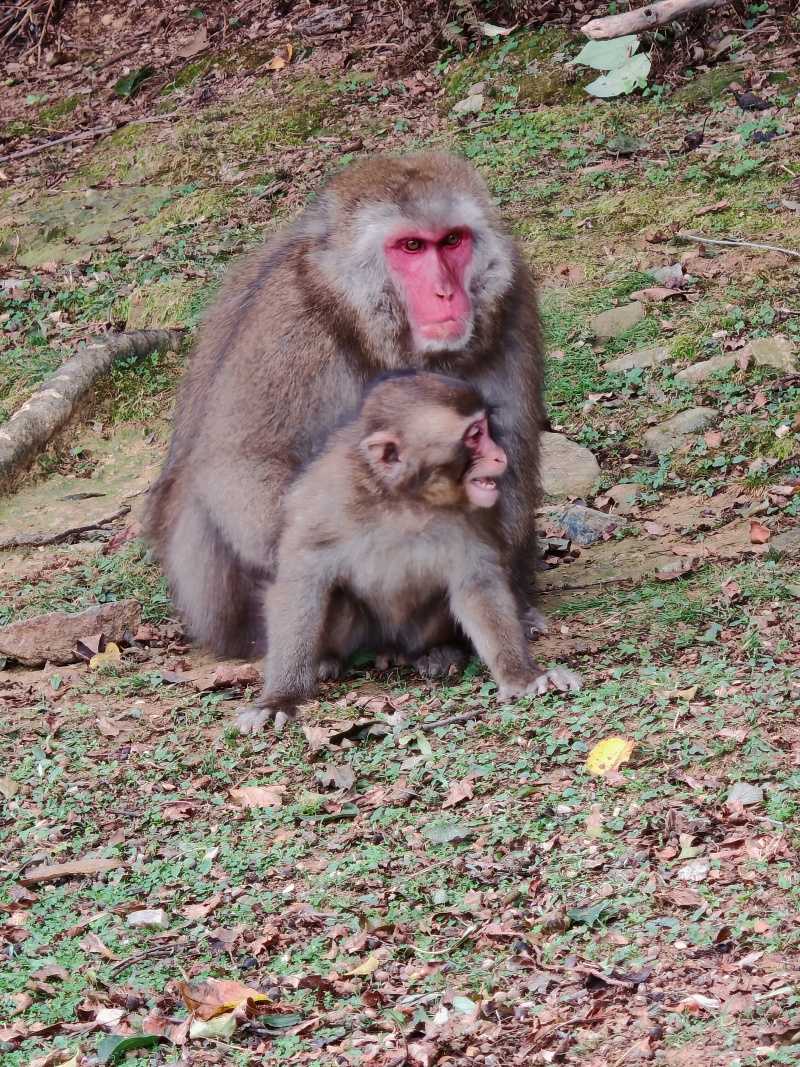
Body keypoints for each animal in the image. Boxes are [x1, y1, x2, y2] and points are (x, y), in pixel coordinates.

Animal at [145, 151, 548, 662]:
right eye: (411, 246)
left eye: (452, 240)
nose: (446, 293)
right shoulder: (287, 321)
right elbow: (240, 465)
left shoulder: (511, 298)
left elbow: (506, 455)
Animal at [236, 372, 582, 734]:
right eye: (475, 436)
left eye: (486, 429)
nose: (500, 455)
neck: (404, 498)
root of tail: (388, 646)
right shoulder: (323, 498)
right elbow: (301, 581)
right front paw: (280, 698)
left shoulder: (474, 516)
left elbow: (477, 584)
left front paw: (523, 676)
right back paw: (327, 657)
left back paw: (436, 652)